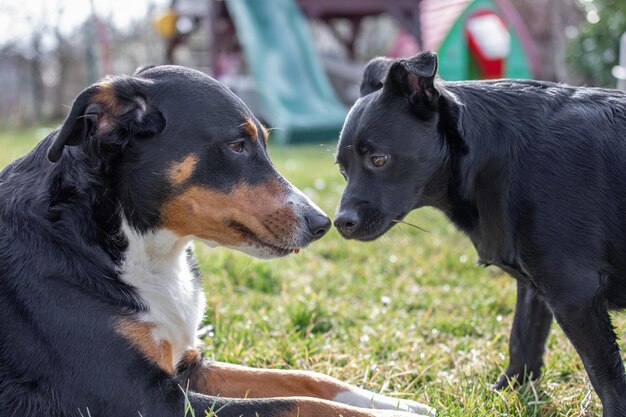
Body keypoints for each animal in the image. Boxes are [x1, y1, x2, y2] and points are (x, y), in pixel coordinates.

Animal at [0, 65, 434, 416]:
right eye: (236, 145)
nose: (321, 223)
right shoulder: (143, 399)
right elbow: (298, 403)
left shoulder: (190, 366)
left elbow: (305, 380)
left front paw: (398, 403)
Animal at [334, 52, 624, 416]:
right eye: (342, 169)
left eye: (379, 159)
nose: (340, 222)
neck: (499, 157)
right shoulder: (536, 288)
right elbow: (523, 342)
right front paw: (507, 392)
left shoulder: (574, 294)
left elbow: (607, 380)